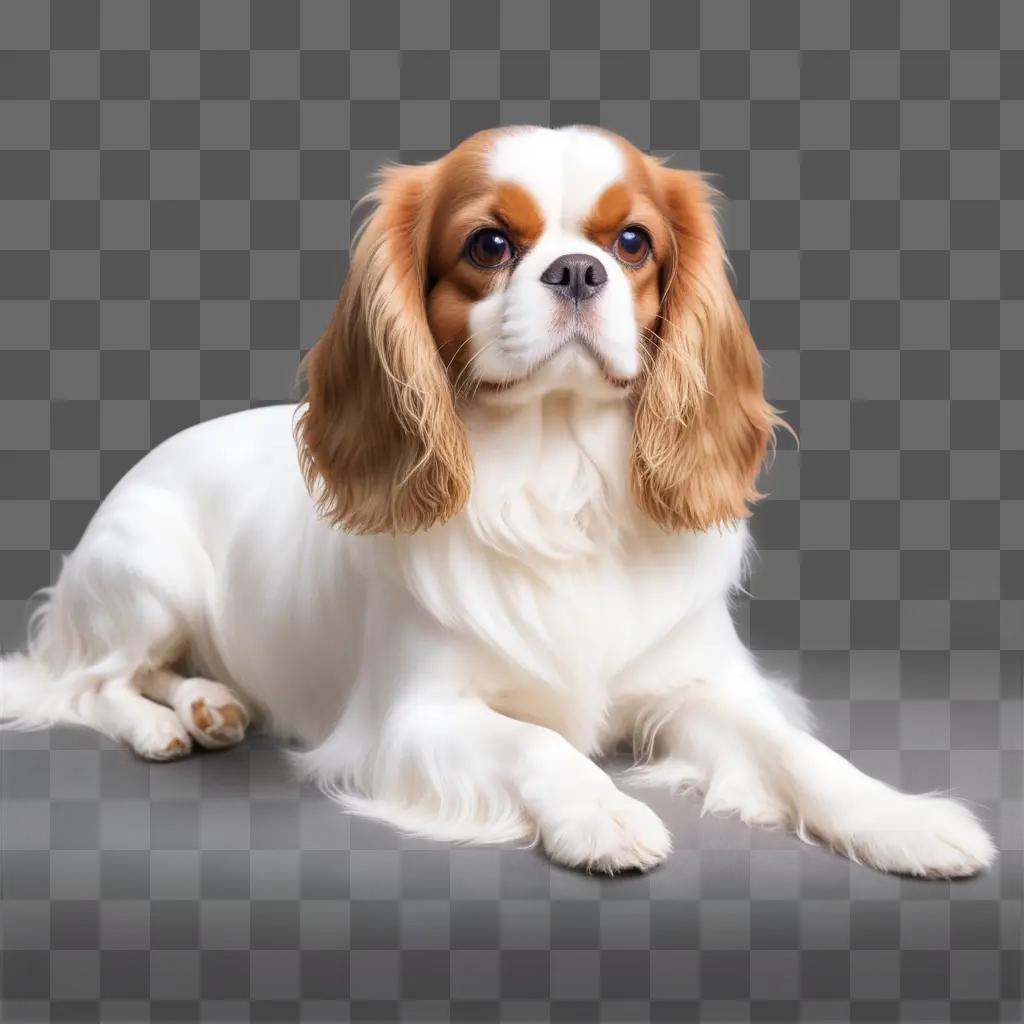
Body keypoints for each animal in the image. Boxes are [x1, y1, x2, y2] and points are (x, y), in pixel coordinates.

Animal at [0, 125, 991, 880]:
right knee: (91, 682)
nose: (578, 272)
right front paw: (602, 813)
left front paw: (900, 818)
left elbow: (799, 754)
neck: (556, 472)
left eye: (632, 243)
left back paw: (209, 702)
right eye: (489, 246)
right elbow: (536, 743)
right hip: (148, 575)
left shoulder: (700, 688)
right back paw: (161, 727)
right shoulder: (407, 723)